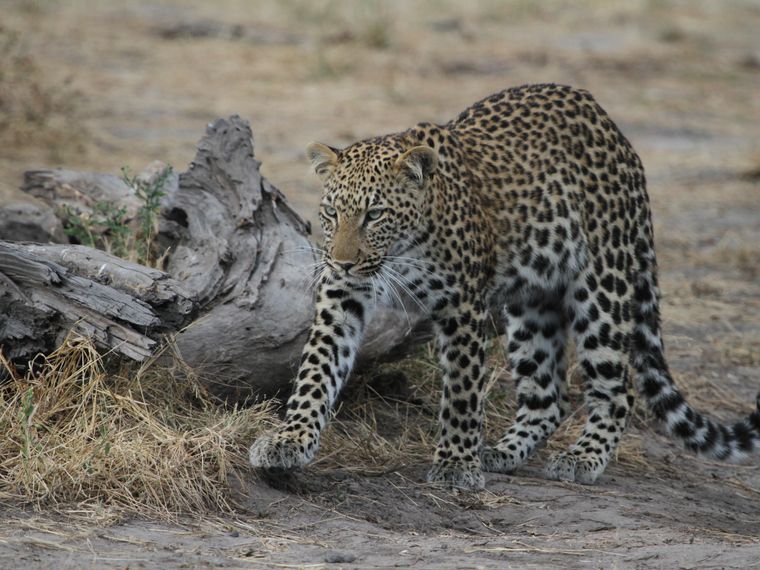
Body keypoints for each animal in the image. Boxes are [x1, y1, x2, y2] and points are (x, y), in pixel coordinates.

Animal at [249, 83, 760, 490]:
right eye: (331, 212)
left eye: (374, 214)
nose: (342, 259)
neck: (403, 249)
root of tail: (614, 129)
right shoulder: (342, 296)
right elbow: (317, 369)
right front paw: (289, 439)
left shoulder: (461, 306)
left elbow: (461, 389)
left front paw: (456, 464)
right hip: (532, 303)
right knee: (547, 396)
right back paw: (503, 451)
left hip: (601, 287)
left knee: (619, 390)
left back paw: (583, 457)